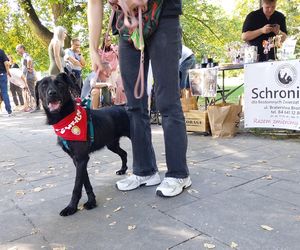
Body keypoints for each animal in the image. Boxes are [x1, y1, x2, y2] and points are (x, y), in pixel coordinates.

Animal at [34, 73, 130, 216]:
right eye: (44, 85)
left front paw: (71, 207)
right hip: (112, 144)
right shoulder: (77, 159)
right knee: (124, 153)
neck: (66, 119)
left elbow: (77, 185)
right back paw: (123, 170)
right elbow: (85, 181)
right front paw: (91, 201)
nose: (52, 93)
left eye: (59, 84)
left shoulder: (81, 158)